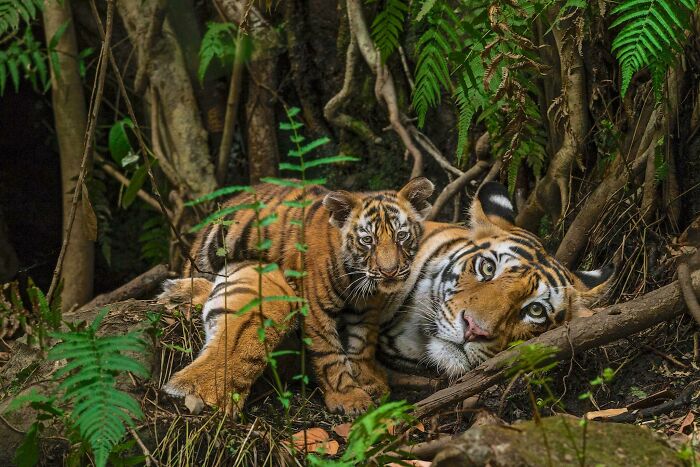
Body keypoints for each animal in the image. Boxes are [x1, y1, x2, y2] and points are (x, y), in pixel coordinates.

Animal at [179, 178, 435, 414]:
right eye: (367, 240)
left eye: (401, 236)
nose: (389, 271)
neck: (357, 279)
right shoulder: (316, 308)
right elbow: (328, 353)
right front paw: (348, 398)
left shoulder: (367, 308)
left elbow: (363, 343)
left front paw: (369, 380)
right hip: (206, 256)